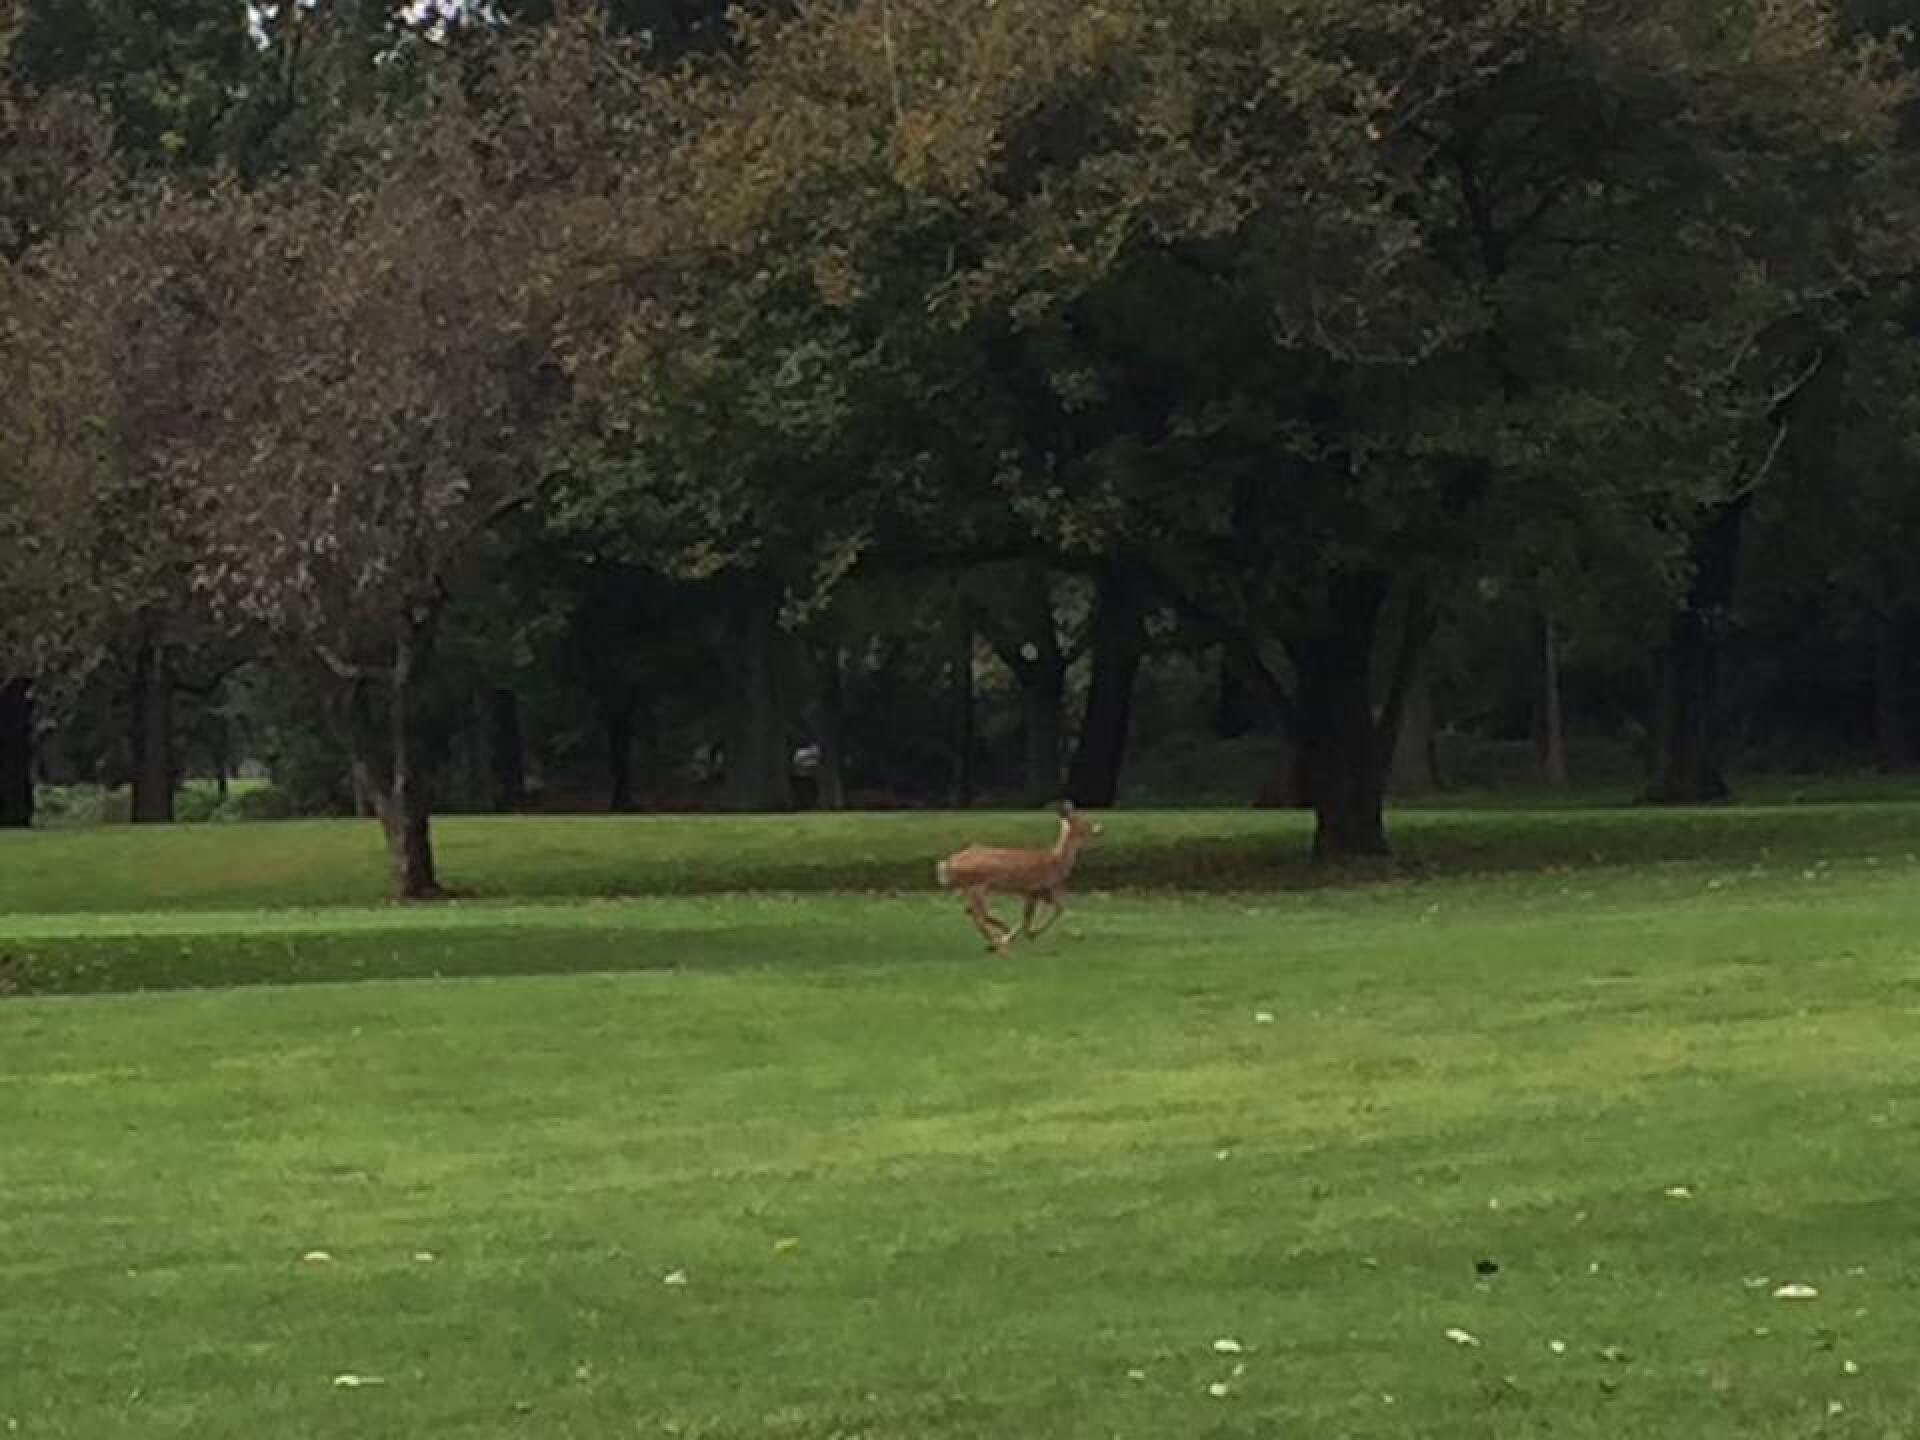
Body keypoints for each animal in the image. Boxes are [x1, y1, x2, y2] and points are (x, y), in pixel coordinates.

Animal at [935, 801, 1105, 952]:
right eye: (1085, 821)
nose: (1099, 829)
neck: (1056, 861)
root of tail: (947, 864)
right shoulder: (1035, 888)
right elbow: (1034, 917)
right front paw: (1028, 934)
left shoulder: (1040, 892)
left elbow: (1055, 909)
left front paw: (1022, 935)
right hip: (978, 885)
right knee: (980, 916)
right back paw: (1001, 944)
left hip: (969, 888)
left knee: (973, 912)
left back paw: (998, 939)